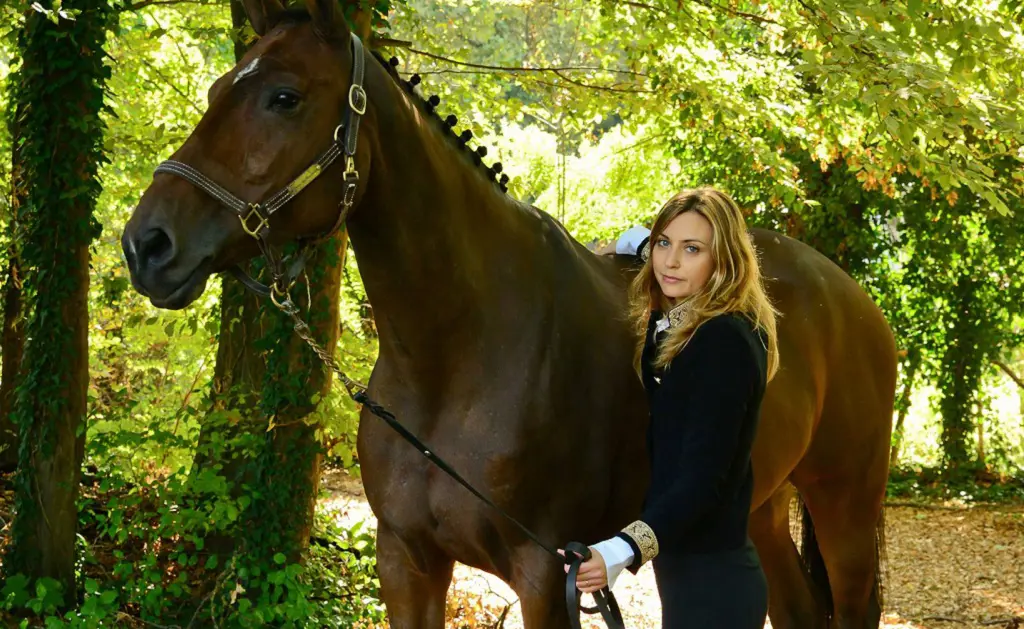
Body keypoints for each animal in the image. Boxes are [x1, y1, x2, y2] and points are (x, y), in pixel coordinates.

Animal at [119, 2, 897, 626]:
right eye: (219, 89)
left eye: (284, 96)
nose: (146, 244)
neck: (460, 351)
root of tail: (851, 297)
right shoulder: (406, 559)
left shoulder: (545, 570)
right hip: (759, 507)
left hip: (847, 504)